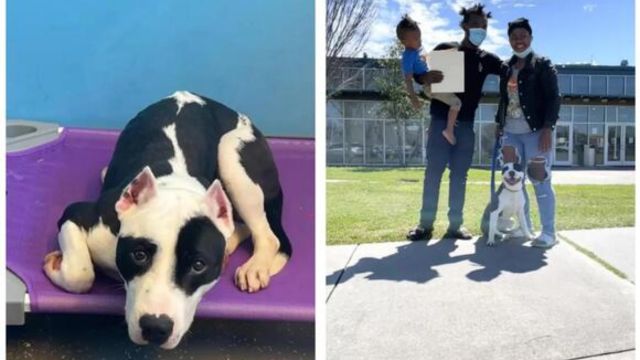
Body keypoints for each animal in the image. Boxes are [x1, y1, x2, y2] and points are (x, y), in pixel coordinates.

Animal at [44, 91, 292, 350]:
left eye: (198, 265)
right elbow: (80, 274)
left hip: (232, 156)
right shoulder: (79, 215)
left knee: (268, 235)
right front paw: (57, 266)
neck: (174, 185)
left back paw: (256, 266)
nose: (155, 326)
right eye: (139, 254)